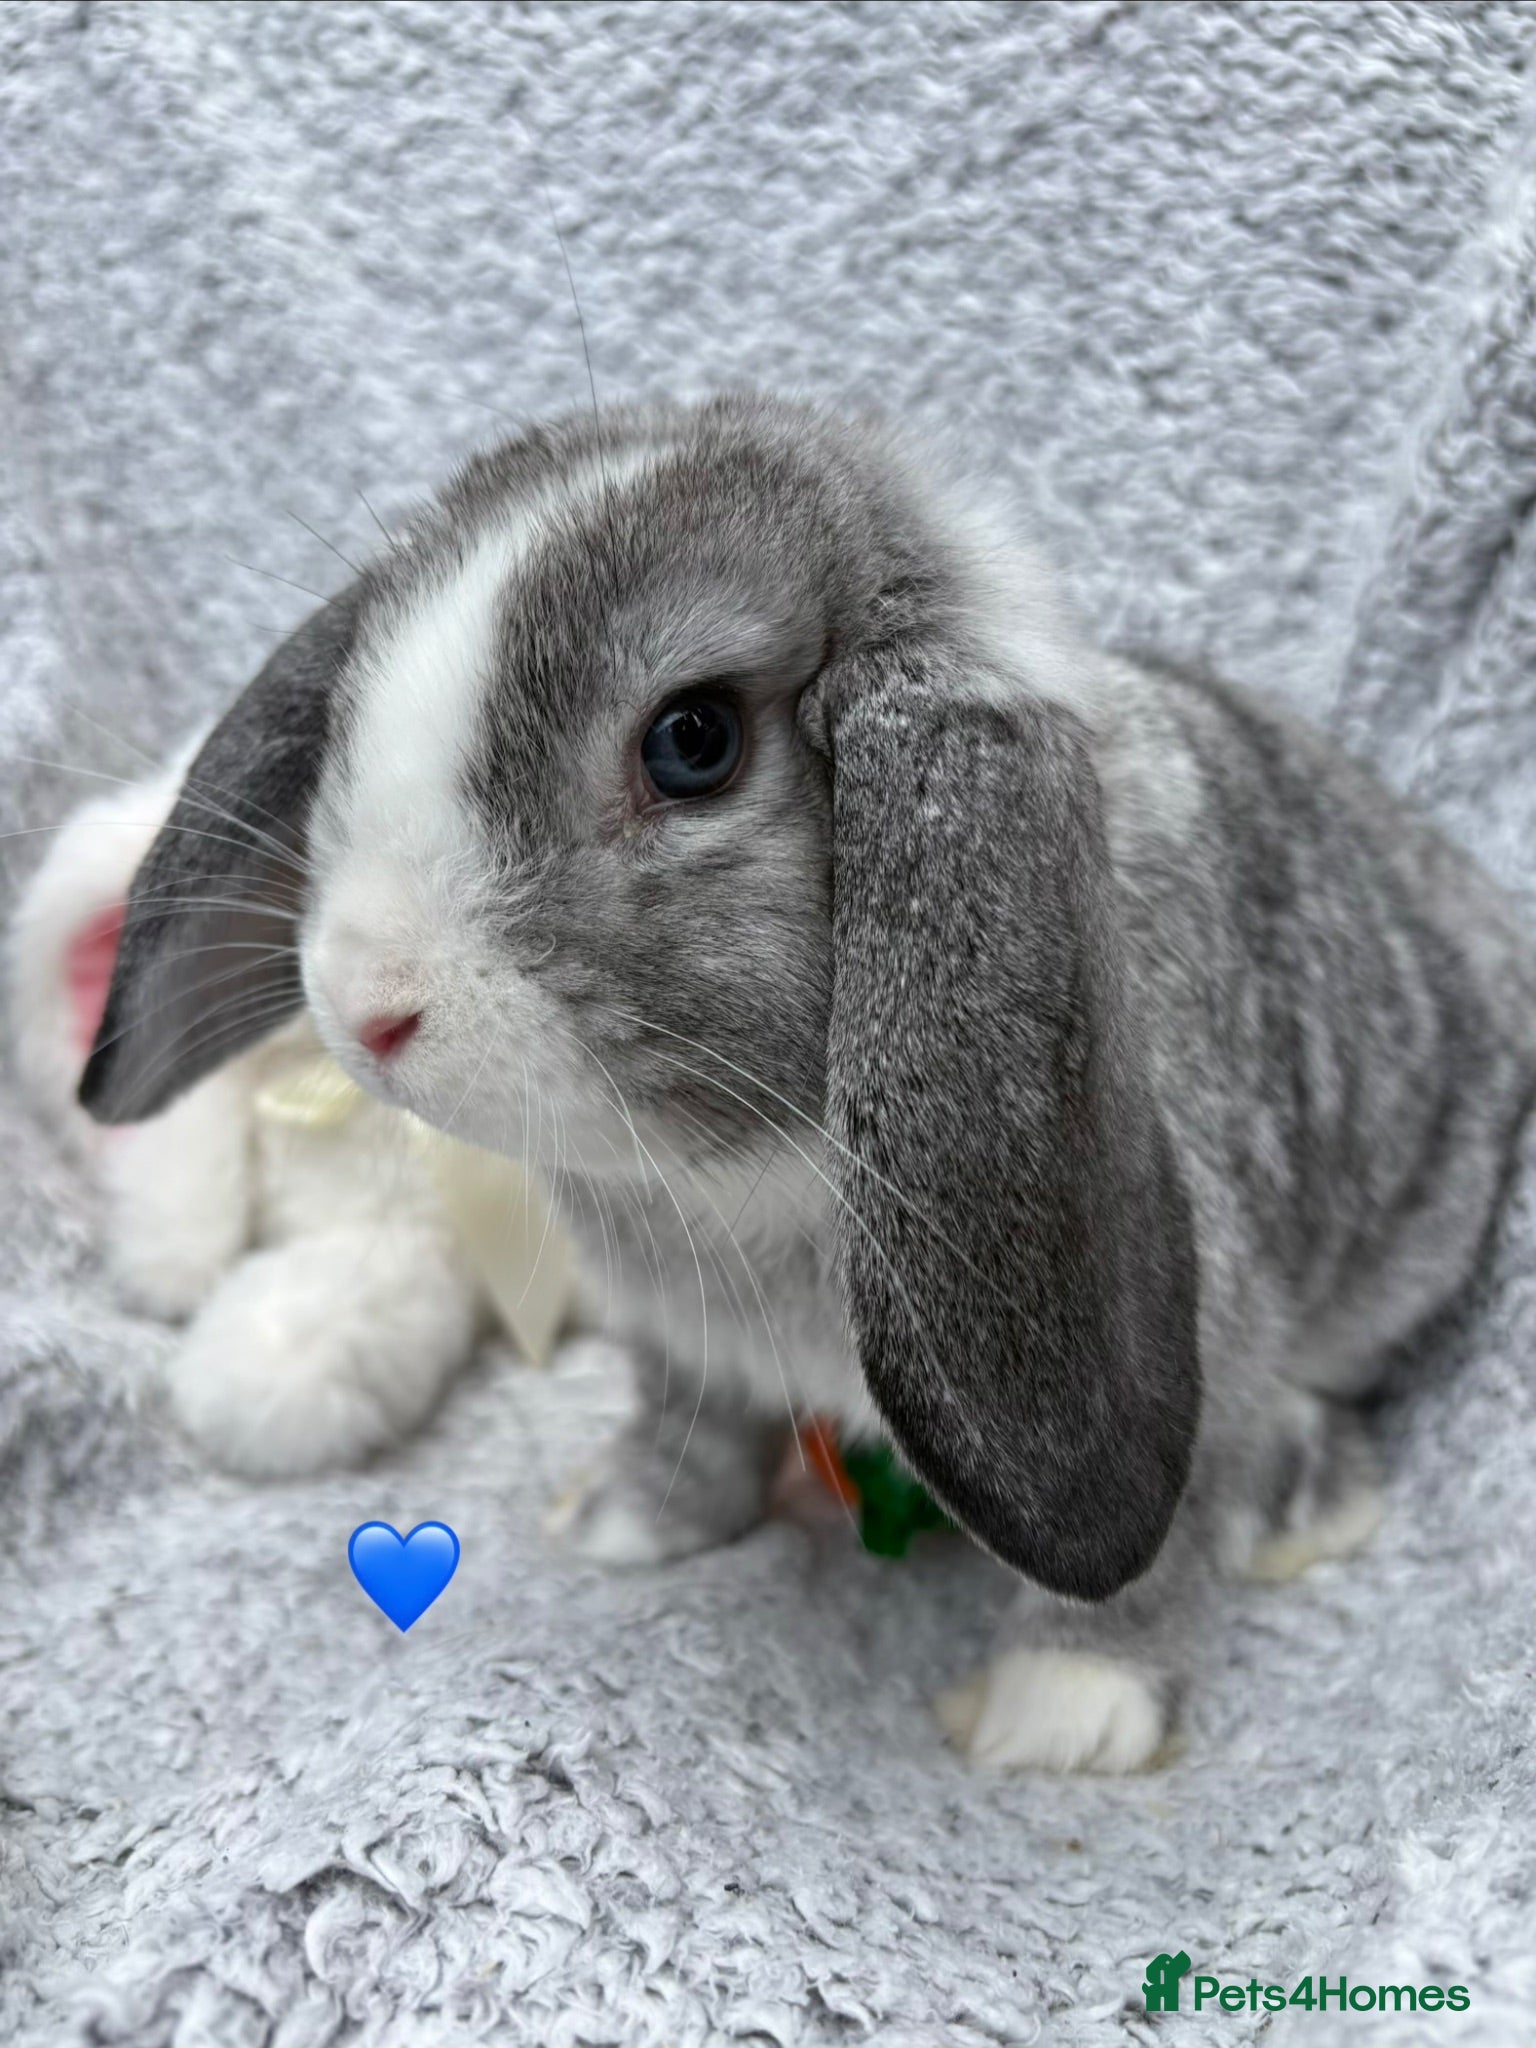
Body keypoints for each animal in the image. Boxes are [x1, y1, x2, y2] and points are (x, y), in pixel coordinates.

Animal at [67, 391, 1536, 1772]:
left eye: (694, 741)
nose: (366, 1002)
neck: (746, 1165)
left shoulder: (1198, 1334)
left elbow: (1149, 1549)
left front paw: (1063, 1714)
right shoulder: (676, 1338)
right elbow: (693, 1425)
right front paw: (621, 1522)